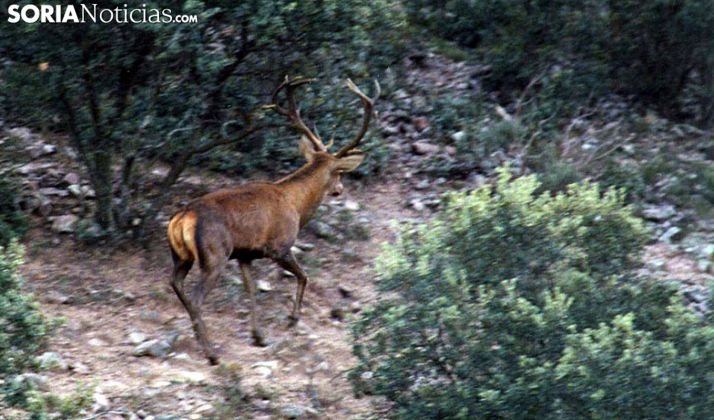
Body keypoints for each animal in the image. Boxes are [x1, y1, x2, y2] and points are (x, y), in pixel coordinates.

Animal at [166, 77, 379, 365]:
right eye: (340, 173)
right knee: (196, 297)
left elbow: (251, 290)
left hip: (182, 256)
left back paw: (202, 340)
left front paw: (259, 336)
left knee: (176, 284)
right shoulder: (279, 246)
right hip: (214, 255)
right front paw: (292, 319)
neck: (296, 206)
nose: (340, 189)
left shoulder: (245, 255)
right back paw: (212, 353)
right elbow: (304, 276)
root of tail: (182, 218)